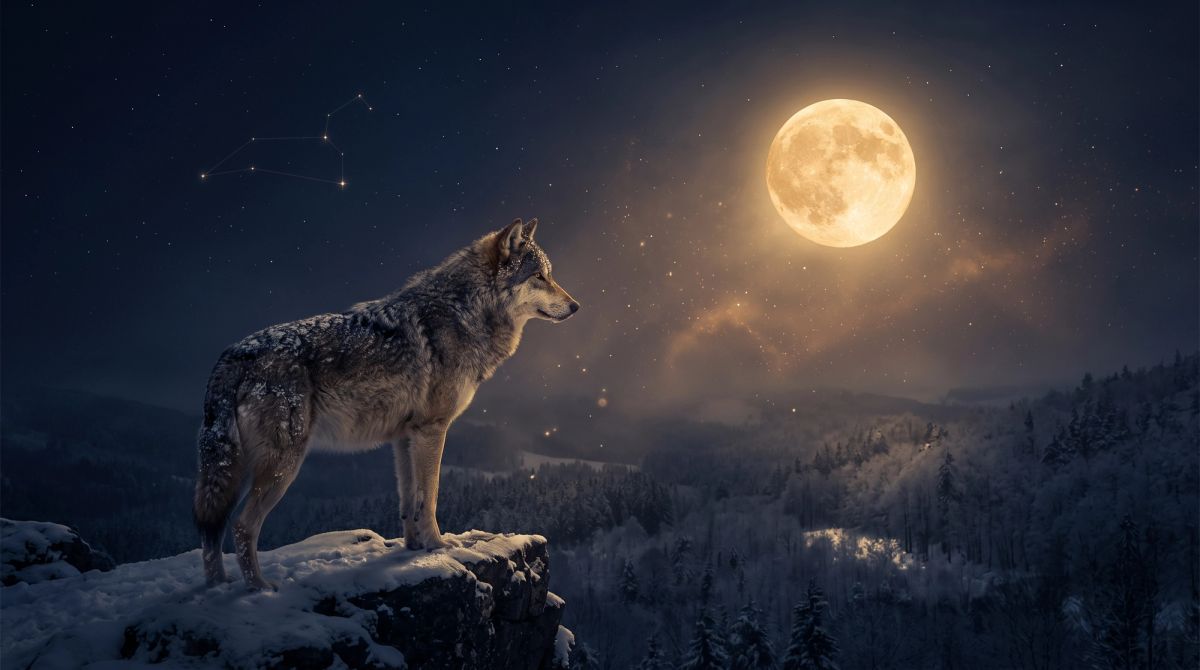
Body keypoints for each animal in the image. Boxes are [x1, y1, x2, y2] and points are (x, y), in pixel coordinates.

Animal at [192, 218, 578, 590]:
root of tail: (232, 355)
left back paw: (217, 588)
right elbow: (430, 496)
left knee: (212, 531)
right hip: (281, 467)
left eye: (550, 274)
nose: (576, 306)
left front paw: (413, 550)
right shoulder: (432, 430)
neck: (465, 312)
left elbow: (409, 502)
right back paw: (259, 588)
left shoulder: (404, 437)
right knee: (242, 526)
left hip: (237, 470)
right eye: (539, 276)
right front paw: (438, 546)